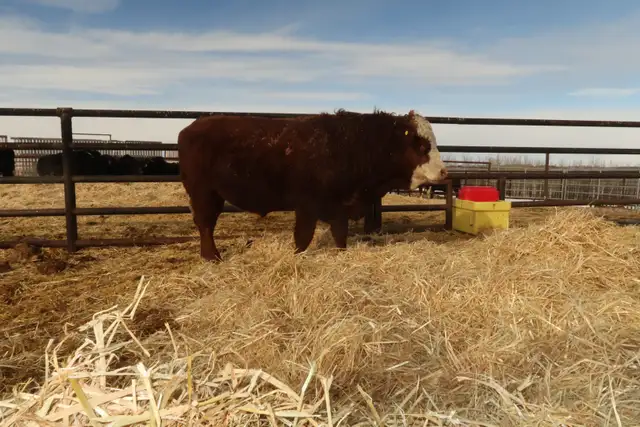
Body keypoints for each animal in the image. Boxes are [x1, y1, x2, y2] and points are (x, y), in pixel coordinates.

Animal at [178, 109, 448, 261]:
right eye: (422, 146)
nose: (445, 172)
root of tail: (191, 127)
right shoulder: (308, 205)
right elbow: (303, 237)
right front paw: (298, 257)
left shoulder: (340, 206)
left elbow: (340, 235)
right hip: (204, 194)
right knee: (205, 225)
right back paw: (212, 257)